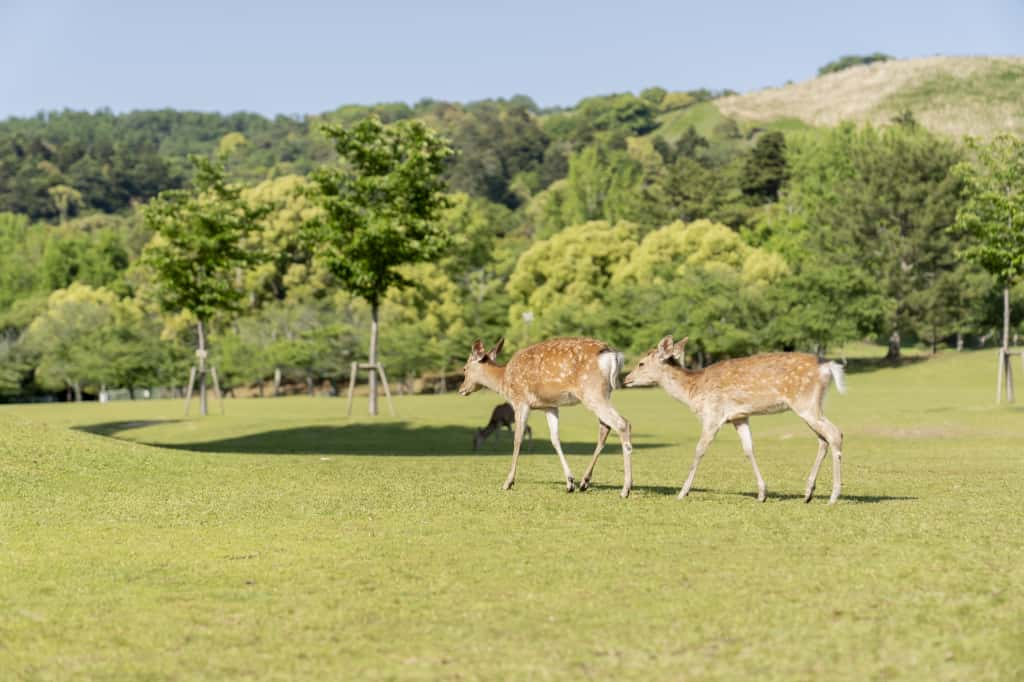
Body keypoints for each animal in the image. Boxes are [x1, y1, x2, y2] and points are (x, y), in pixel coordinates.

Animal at [458, 337, 630, 497]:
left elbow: (517, 439)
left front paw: (508, 482)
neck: (503, 381)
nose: (461, 389)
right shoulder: (550, 406)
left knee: (622, 423)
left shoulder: (521, 401)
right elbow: (555, 439)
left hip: (591, 391)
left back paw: (625, 489)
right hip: (604, 393)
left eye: (465, 369)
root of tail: (613, 354)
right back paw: (584, 482)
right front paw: (569, 483)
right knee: (605, 427)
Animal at [622, 335, 847, 503]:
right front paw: (762, 493)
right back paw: (808, 493)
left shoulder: (713, 414)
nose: (626, 379)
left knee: (835, 434)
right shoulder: (740, 416)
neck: (693, 391)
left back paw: (834, 495)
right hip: (811, 406)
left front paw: (682, 492)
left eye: (641, 363)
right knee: (823, 439)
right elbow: (748, 449)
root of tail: (829, 367)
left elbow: (699, 450)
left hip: (805, 403)